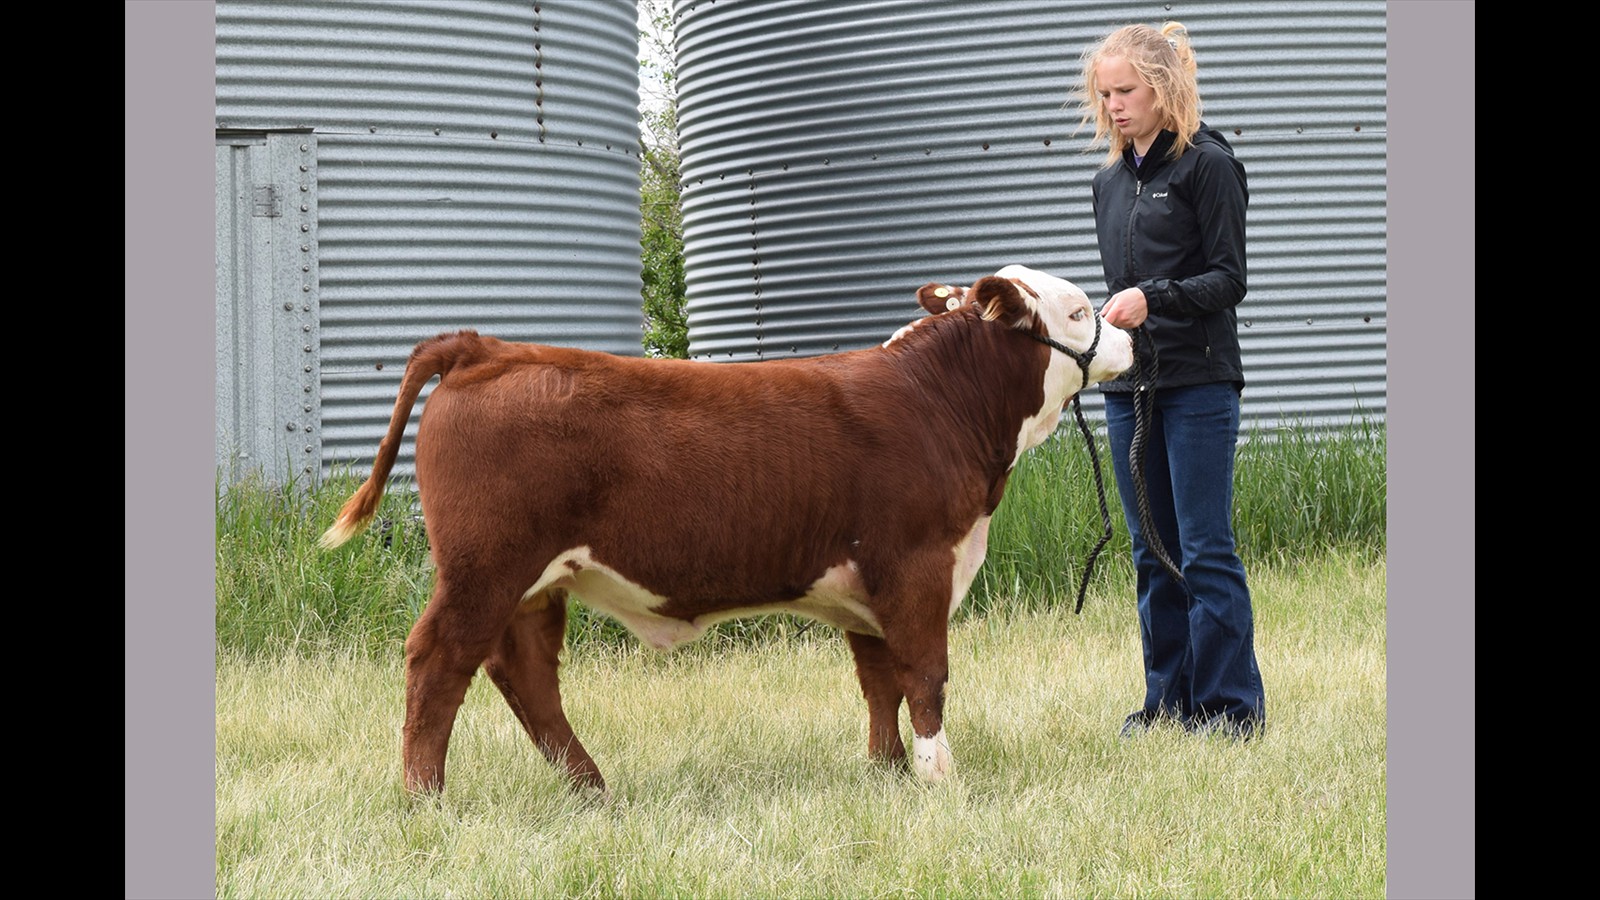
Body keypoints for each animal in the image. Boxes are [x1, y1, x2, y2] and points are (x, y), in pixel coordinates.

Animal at [320, 264, 1133, 795]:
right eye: (1078, 310)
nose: (1131, 330)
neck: (939, 402)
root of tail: (489, 348)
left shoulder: (865, 583)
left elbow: (879, 681)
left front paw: (889, 773)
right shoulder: (918, 565)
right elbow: (924, 676)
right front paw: (941, 779)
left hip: (533, 580)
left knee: (524, 674)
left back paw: (590, 788)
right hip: (486, 565)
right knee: (438, 661)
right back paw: (425, 798)